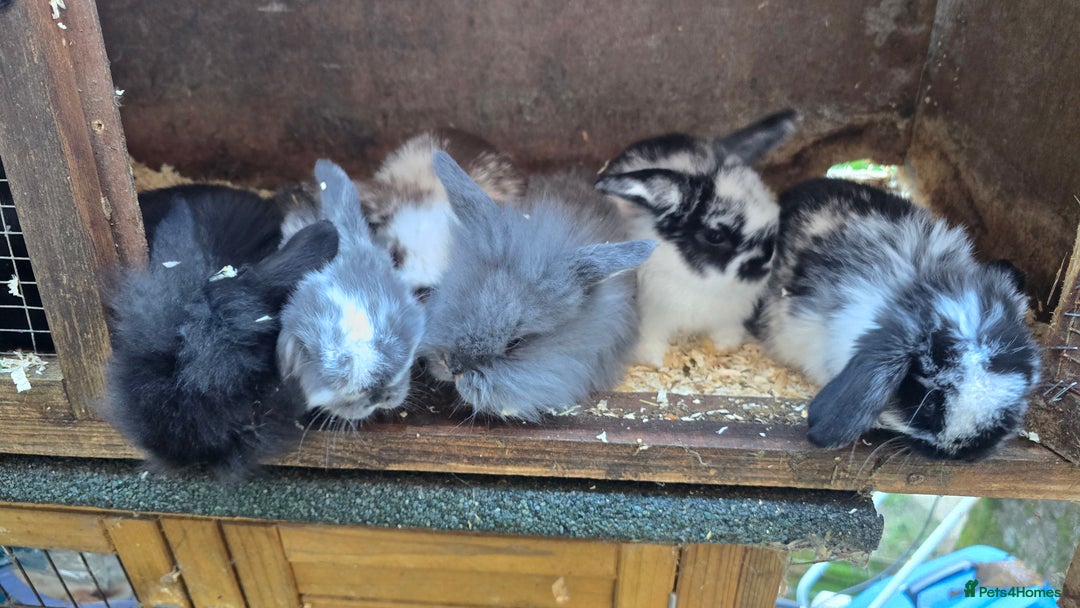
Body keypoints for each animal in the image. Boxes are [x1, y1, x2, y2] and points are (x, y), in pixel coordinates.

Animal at [595, 109, 798, 366]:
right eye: (715, 235)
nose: (764, 260)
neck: (702, 281)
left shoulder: (728, 315)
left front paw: (725, 345)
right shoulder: (653, 318)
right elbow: (651, 339)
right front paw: (654, 360)